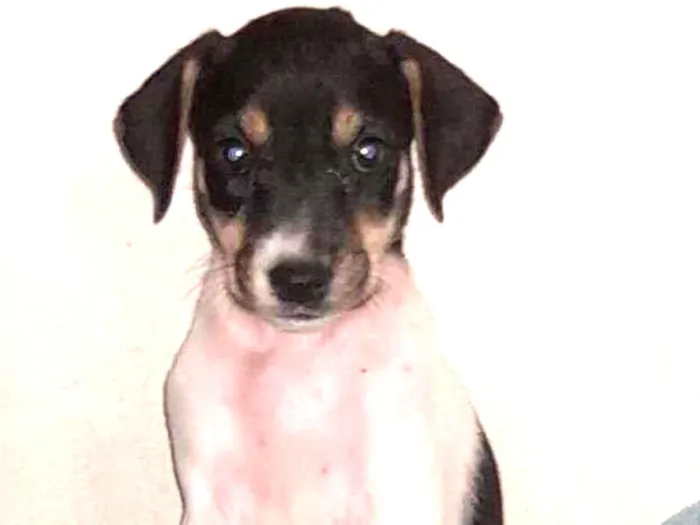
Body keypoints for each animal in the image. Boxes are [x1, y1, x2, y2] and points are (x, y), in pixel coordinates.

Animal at [114, 7, 503, 525]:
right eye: (233, 152)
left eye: (369, 151)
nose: (298, 280)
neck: (297, 360)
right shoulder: (210, 496)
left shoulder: (398, 487)